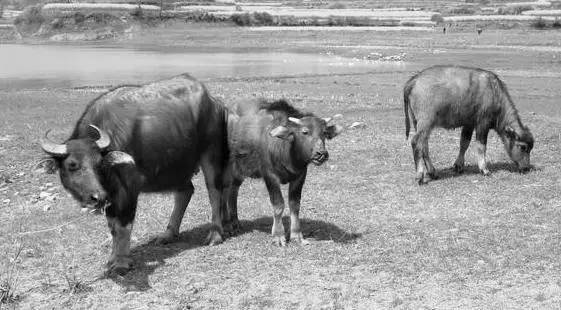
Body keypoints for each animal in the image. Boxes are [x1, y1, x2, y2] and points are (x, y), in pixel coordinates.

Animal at [39, 73, 229, 274]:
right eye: (72, 165)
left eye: (99, 164)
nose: (97, 197)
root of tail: (214, 103)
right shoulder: (111, 194)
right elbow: (112, 226)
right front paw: (112, 259)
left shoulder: (128, 189)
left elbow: (123, 225)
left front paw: (122, 262)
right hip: (176, 165)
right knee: (185, 192)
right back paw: (168, 234)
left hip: (211, 153)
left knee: (214, 191)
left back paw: (215, 234)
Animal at [223, 98, 342, 245]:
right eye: (305, 132)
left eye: (324, 133)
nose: (321, 154)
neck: (286, 152)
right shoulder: (270, 176)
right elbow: (278, 205)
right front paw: (278, 235)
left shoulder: (300, 176)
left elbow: (295, 205)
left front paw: (297, 234)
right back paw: (226, 226)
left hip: (239, 171)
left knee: (233, 191)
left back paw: (235, 223)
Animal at [402, 64, 532, 183]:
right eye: (523, 147)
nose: (526, 168)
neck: (494, 93)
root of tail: (415, 79)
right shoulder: (482, 124)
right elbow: (481, 146)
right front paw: (484, 169)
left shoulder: (469, 124)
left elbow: (464, 143)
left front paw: (458, 166)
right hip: (426, 122)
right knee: (416, 142)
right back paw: (420, 175)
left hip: (418, 122)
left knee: (424, 145)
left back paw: (433, 172)